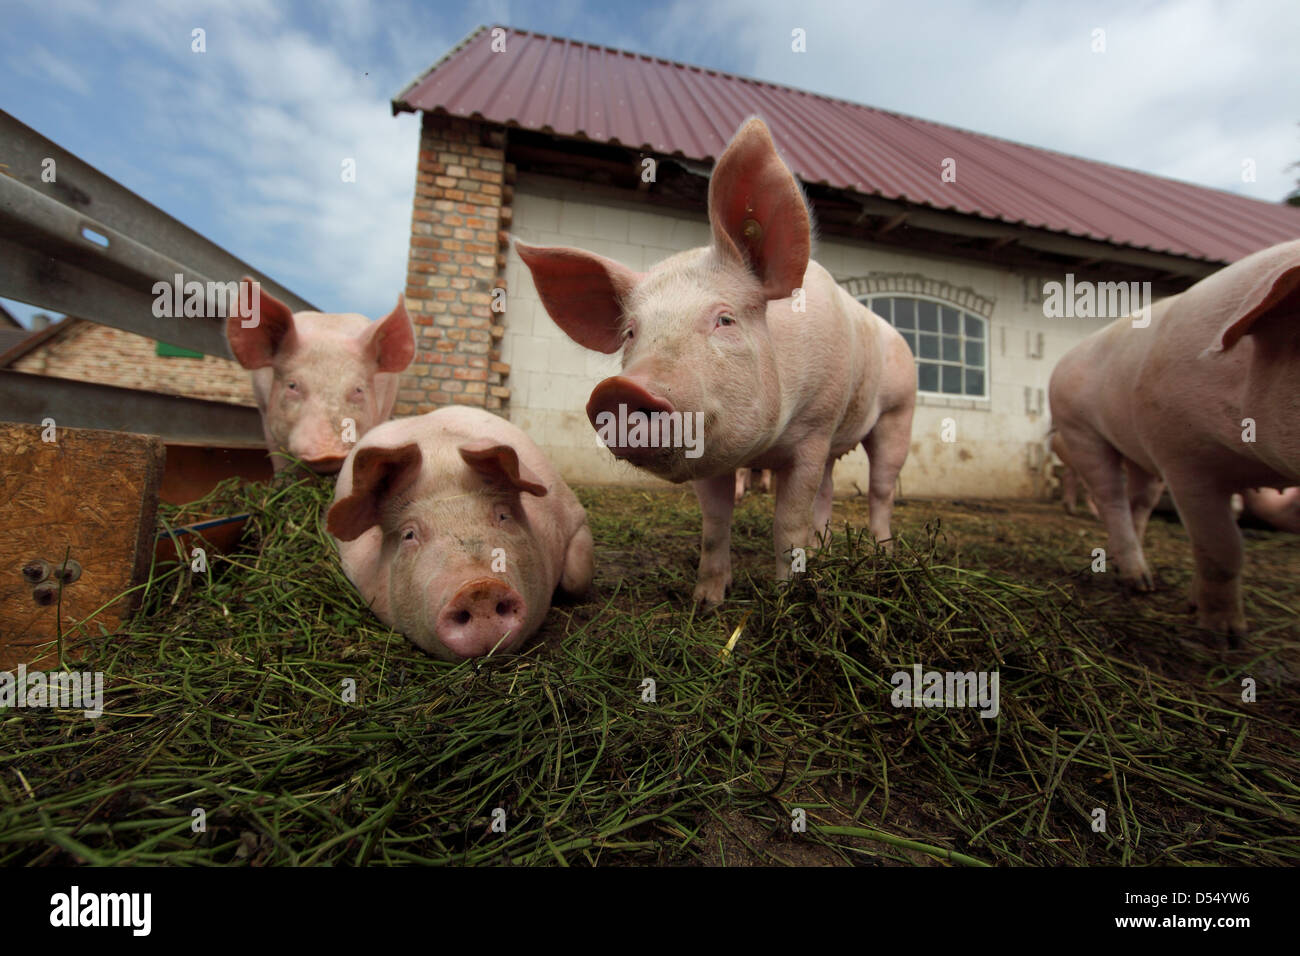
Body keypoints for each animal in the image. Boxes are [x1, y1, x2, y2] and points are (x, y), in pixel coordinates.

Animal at [512, 115, 920, 600]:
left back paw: (885, 557)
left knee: (881, 489)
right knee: (829, 488)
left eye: (724, 319)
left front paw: (784, 597)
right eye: (630, 332)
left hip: (898, 412)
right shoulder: (712, 456)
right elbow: (715, 525)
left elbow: (787, 524)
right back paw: (823, 554)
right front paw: (706, 602)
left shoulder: (813, 431)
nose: (620, 390)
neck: (767, 443)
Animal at [1045, 239, 1300, 639]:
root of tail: (1064, 359)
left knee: (1139, 503)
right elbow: (1221, 547)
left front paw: (1197, 610)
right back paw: (1138, 584)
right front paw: (1225, 636)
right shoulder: (1183, 456)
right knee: (1110, 498)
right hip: (1079, 430)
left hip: (1138, 451)